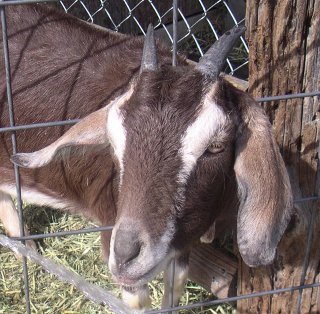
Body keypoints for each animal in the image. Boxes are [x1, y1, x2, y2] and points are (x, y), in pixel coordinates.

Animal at [0, 3, 292, 312]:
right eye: (113, 141)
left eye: (216, 146)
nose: (126, 257)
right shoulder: (111, 223)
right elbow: (137, 300)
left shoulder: (182, 238)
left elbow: (175, 284)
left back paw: (25, 249)